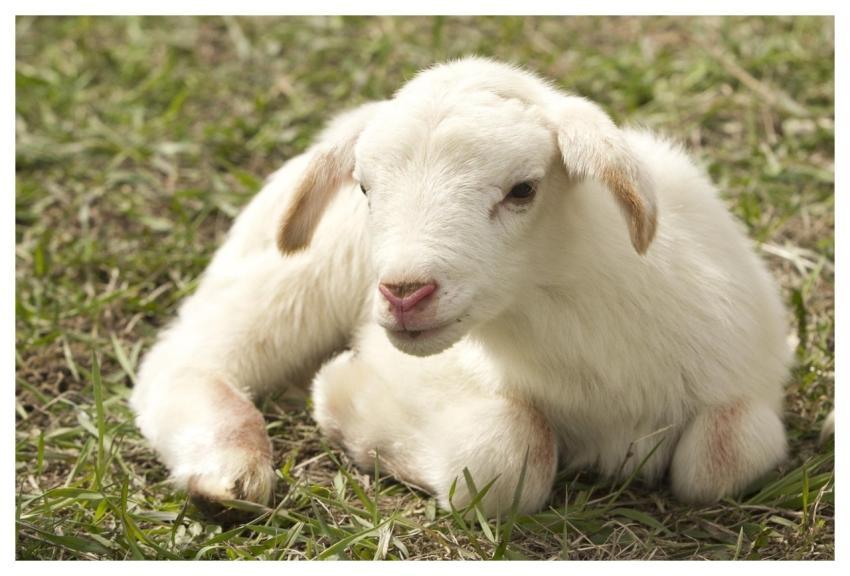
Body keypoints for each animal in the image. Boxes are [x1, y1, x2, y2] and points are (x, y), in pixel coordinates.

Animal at [130, 57, 791, 517]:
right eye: (365, 187)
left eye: (524, 189)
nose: (404, 292)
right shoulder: (415, 371)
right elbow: (509, 454)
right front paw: (342, 399)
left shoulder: (745, 378)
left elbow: (725, 455)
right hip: (292, 277)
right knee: (187, 358)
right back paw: (229, 468)